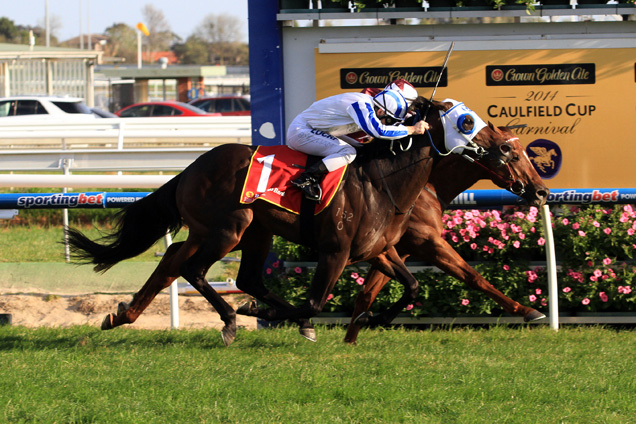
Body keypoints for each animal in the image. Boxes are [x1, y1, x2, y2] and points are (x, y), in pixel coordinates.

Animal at [67, 97, 516, 346]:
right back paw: (231, 320)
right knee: (194, 268)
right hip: (229, 228)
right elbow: (315, 301)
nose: (504, 147)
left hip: (246, 232)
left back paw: (122, 314)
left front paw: (374, 319)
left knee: (196, 263)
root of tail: (191, 168)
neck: (382, 181)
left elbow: (413, 286)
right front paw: (271, 317)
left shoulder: (380, 249)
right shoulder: (336, 251)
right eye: (465, 120)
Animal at [346, 129, 548, 344]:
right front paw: (527, 310)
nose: (542, 192)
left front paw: (354, 336)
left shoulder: (397, 250)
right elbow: (473, 276)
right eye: (514, 155)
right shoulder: (428, 242)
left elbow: (368, 293)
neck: (425, 189)